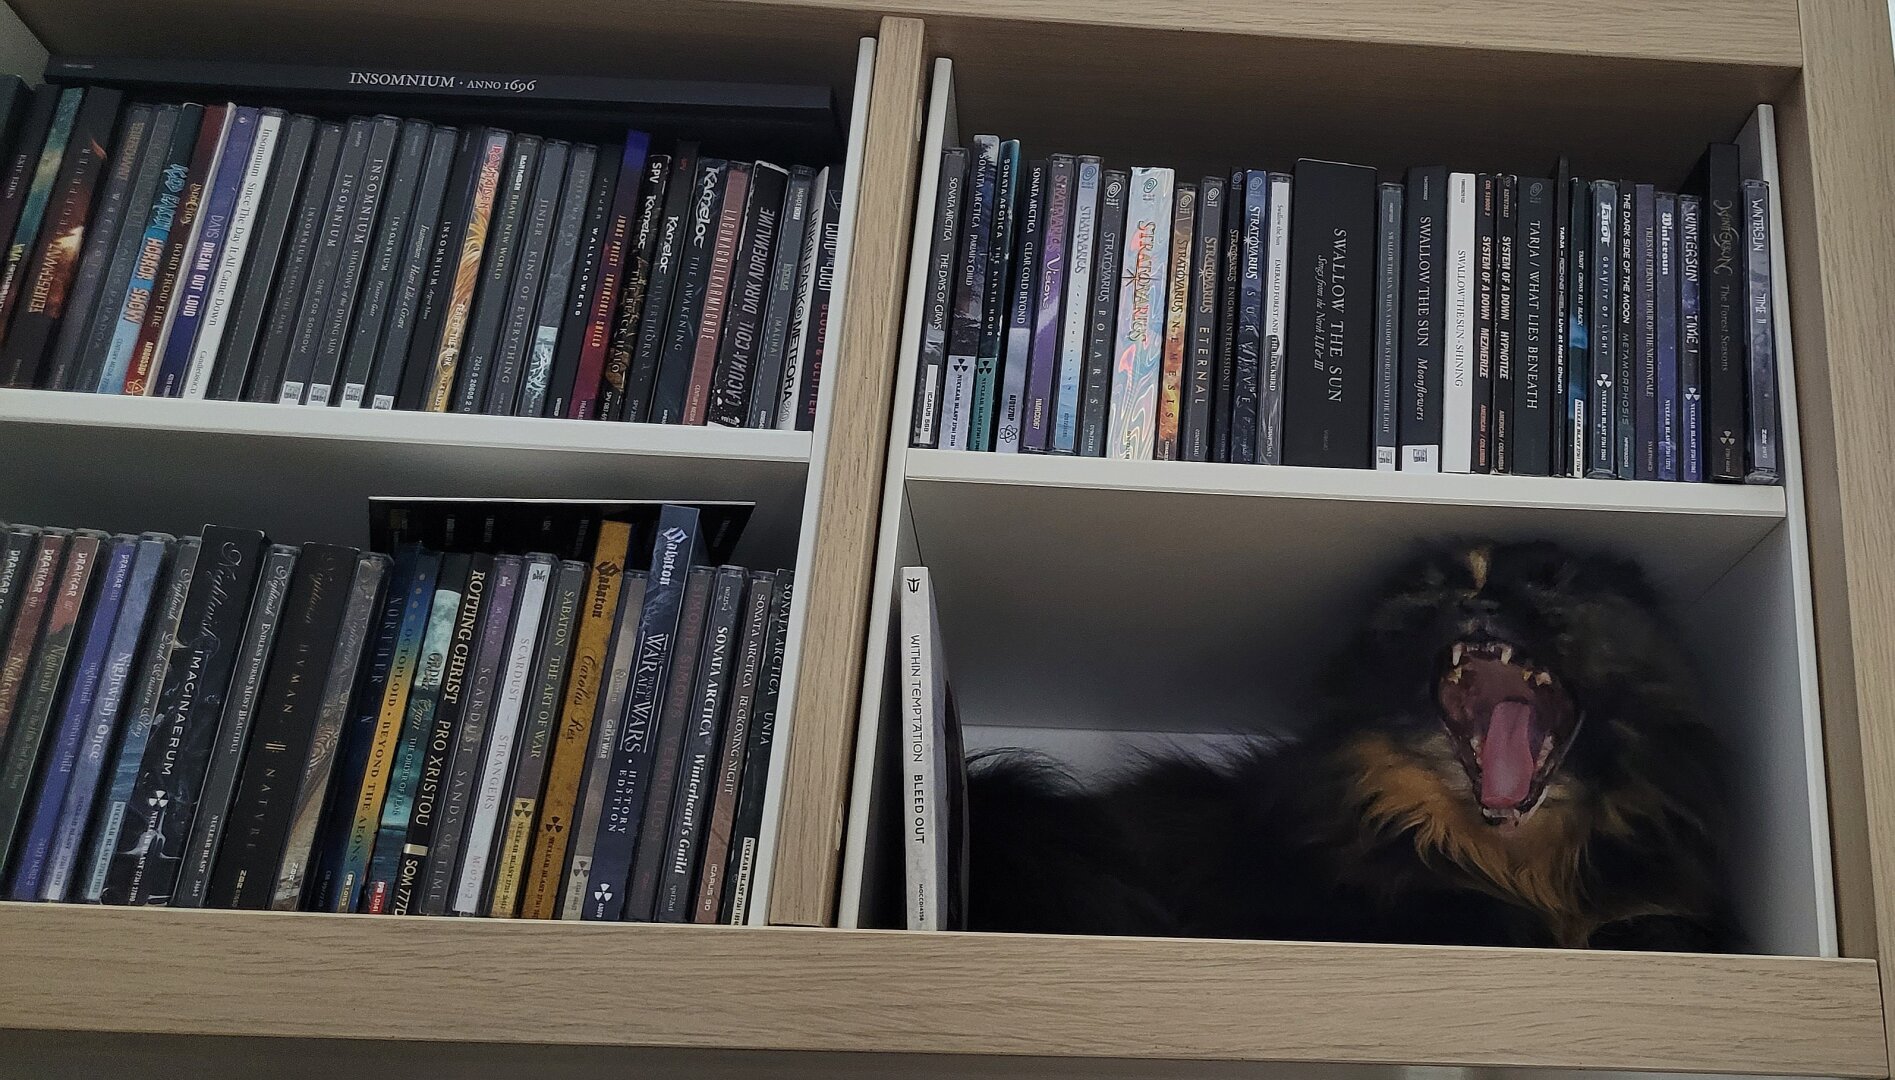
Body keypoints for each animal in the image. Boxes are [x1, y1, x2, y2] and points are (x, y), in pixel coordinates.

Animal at [970, 534, 1735, 939]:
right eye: (1437, 588)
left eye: (1552, 583)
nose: (1479, 604)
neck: (1525, 868)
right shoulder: (1404, 907)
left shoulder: (1661, 915)